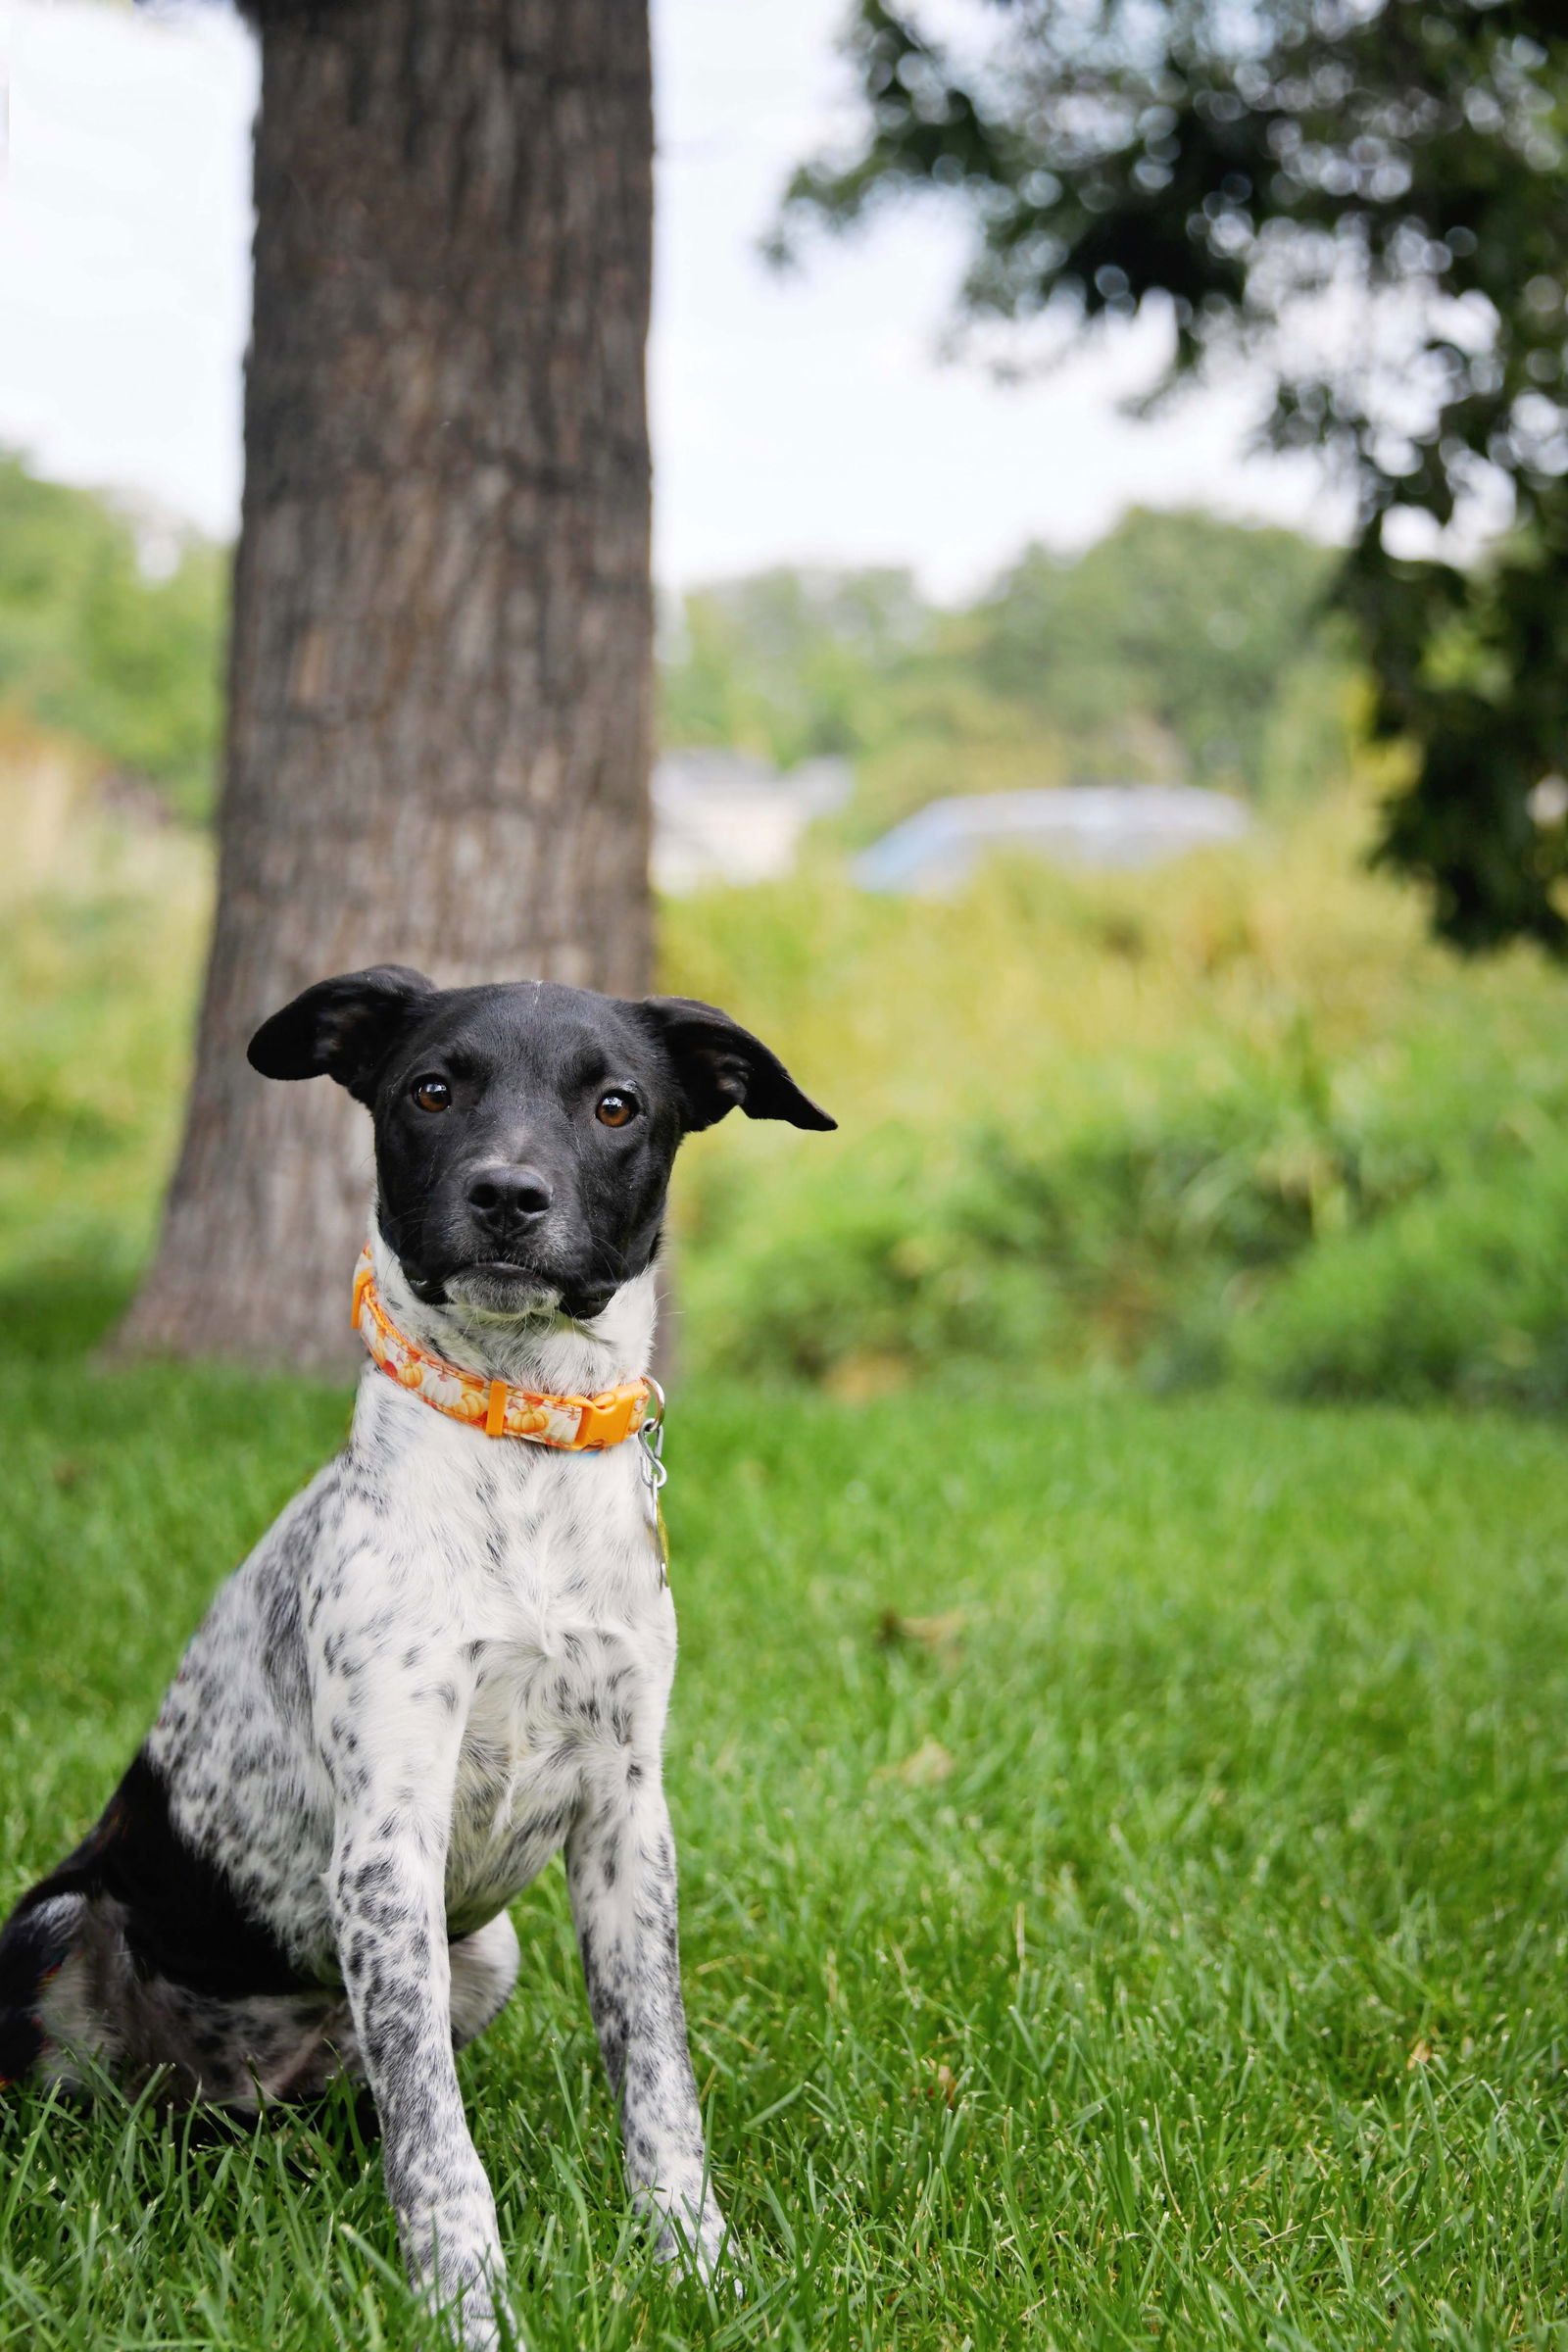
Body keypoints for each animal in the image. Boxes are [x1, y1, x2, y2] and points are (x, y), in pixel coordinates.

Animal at [0, 964, 832, 2342]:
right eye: (431, 1090)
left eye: (616, 1105)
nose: (507, 1195)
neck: (521, 1449)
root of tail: (219, 2095)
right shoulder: (388, 1838)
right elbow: (437, 2140)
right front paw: (466, 2306)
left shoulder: (627, 1821)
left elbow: (655, 2075)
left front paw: (694, 2262)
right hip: (57, 1925)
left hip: (476, 1957)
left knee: (349, 2100)